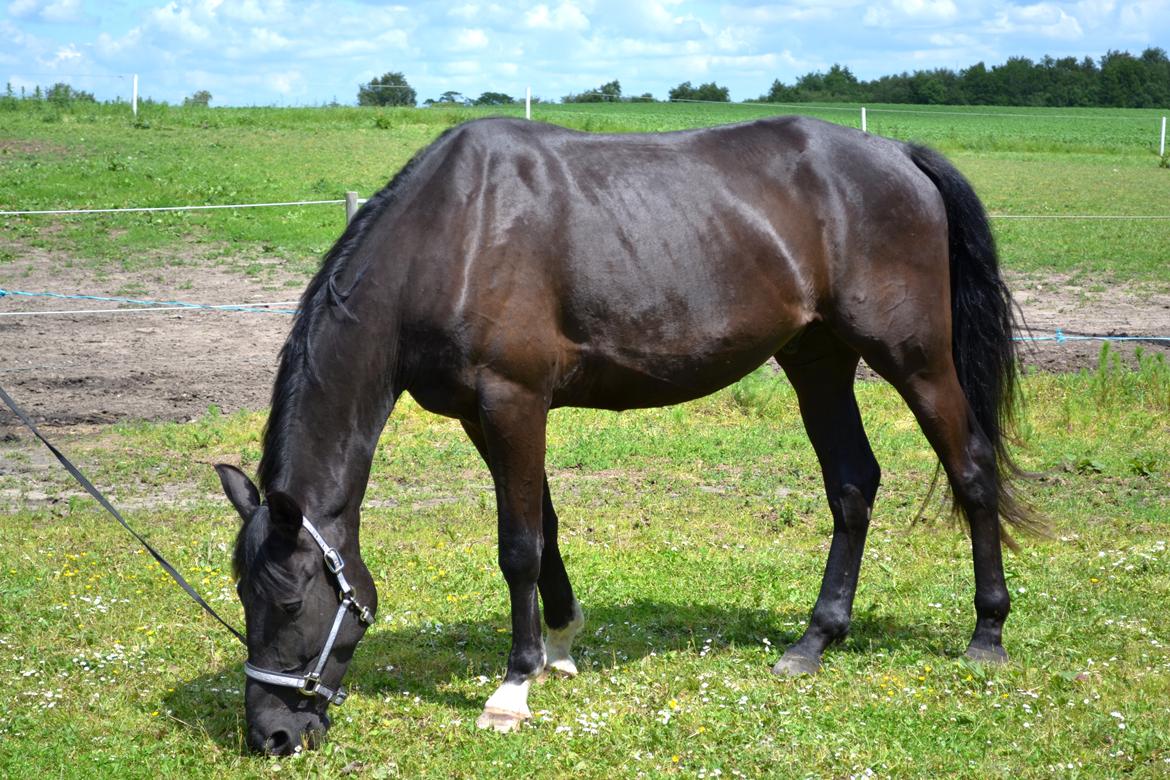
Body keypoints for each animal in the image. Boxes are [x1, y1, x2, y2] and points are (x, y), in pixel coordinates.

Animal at [215, 112, 1029, 753]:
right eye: (243, 597)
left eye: (288, 603)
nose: (272, 735)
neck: (453, 235)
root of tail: (899, 155)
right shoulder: (487, 416)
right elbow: (544, 528)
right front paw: (559, 646)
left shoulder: (513, 402)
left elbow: (518, 546)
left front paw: (512, 689)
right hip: (818, 359)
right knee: (853, 484)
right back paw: (815, 641)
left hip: (916, 360)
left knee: (972, 470)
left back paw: (986, 635)